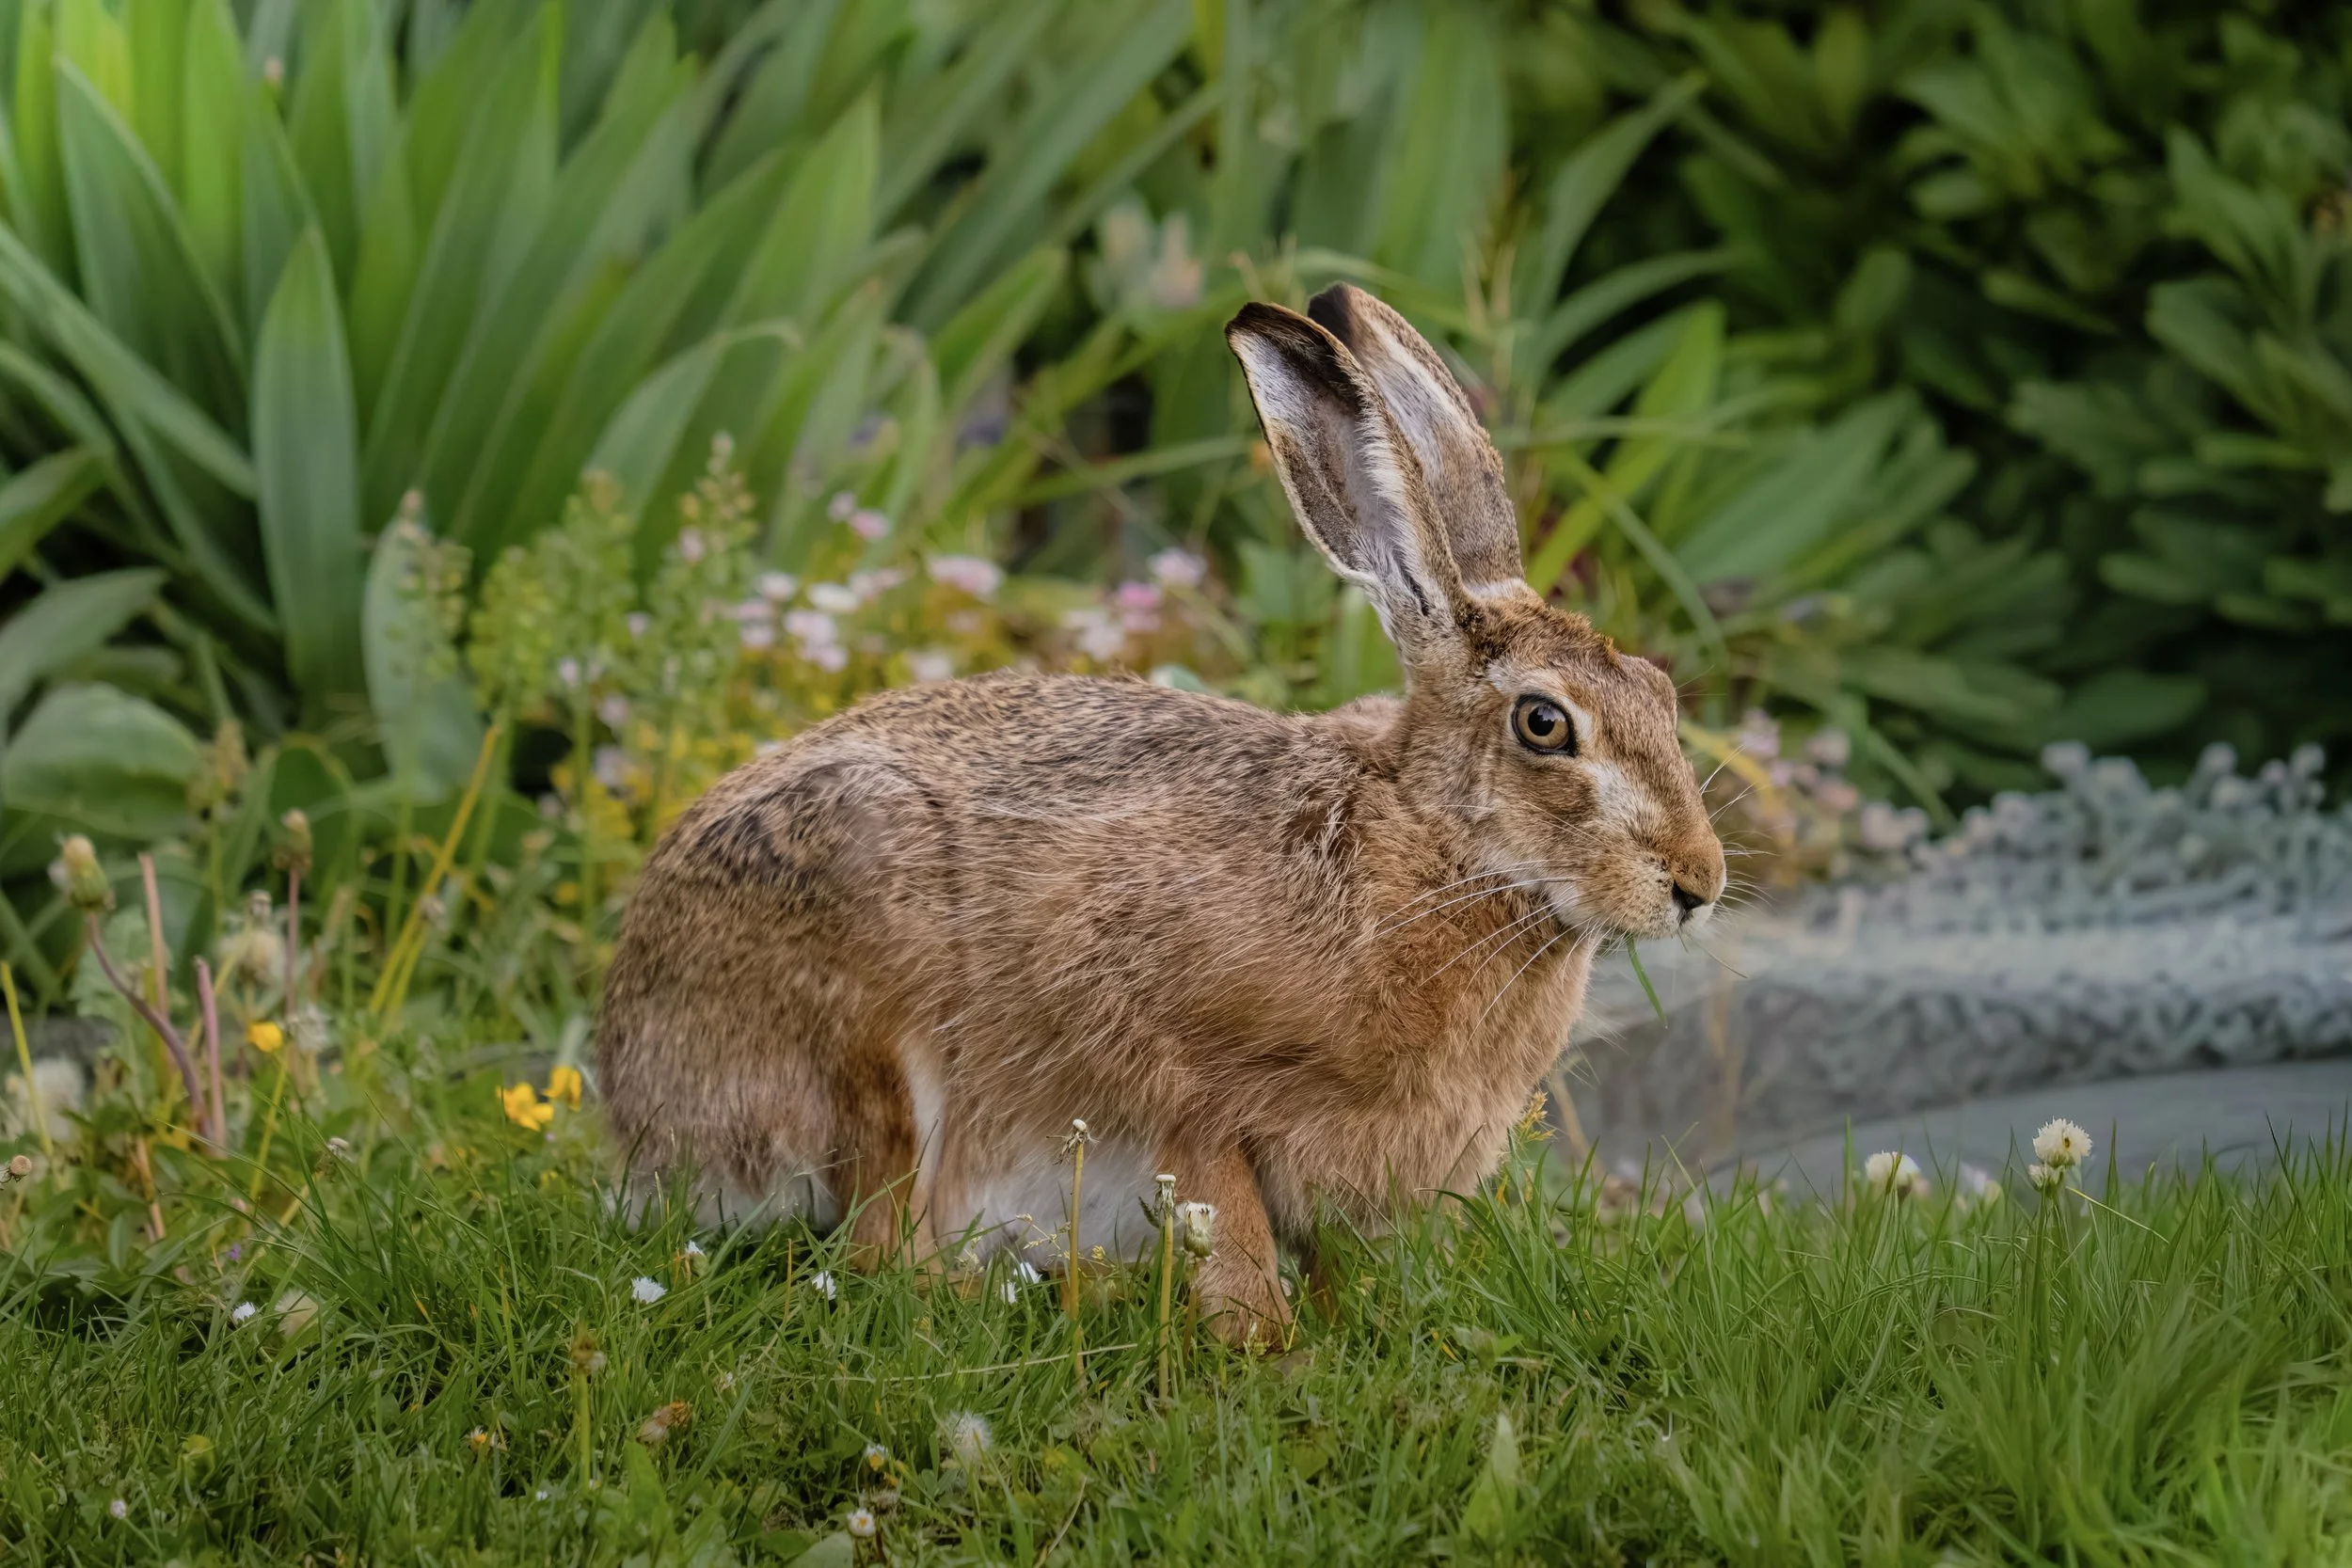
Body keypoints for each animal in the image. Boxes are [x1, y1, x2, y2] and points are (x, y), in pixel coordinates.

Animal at [598, 283, 1725, 1343]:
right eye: (1544, 723)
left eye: (1661, 692)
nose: (1698, 883)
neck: (1433, 847)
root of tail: (634, 1101)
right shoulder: (1183, 1079)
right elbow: (1229, 1221)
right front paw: (1260, 1341)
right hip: (867, 989)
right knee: (884, 1252)